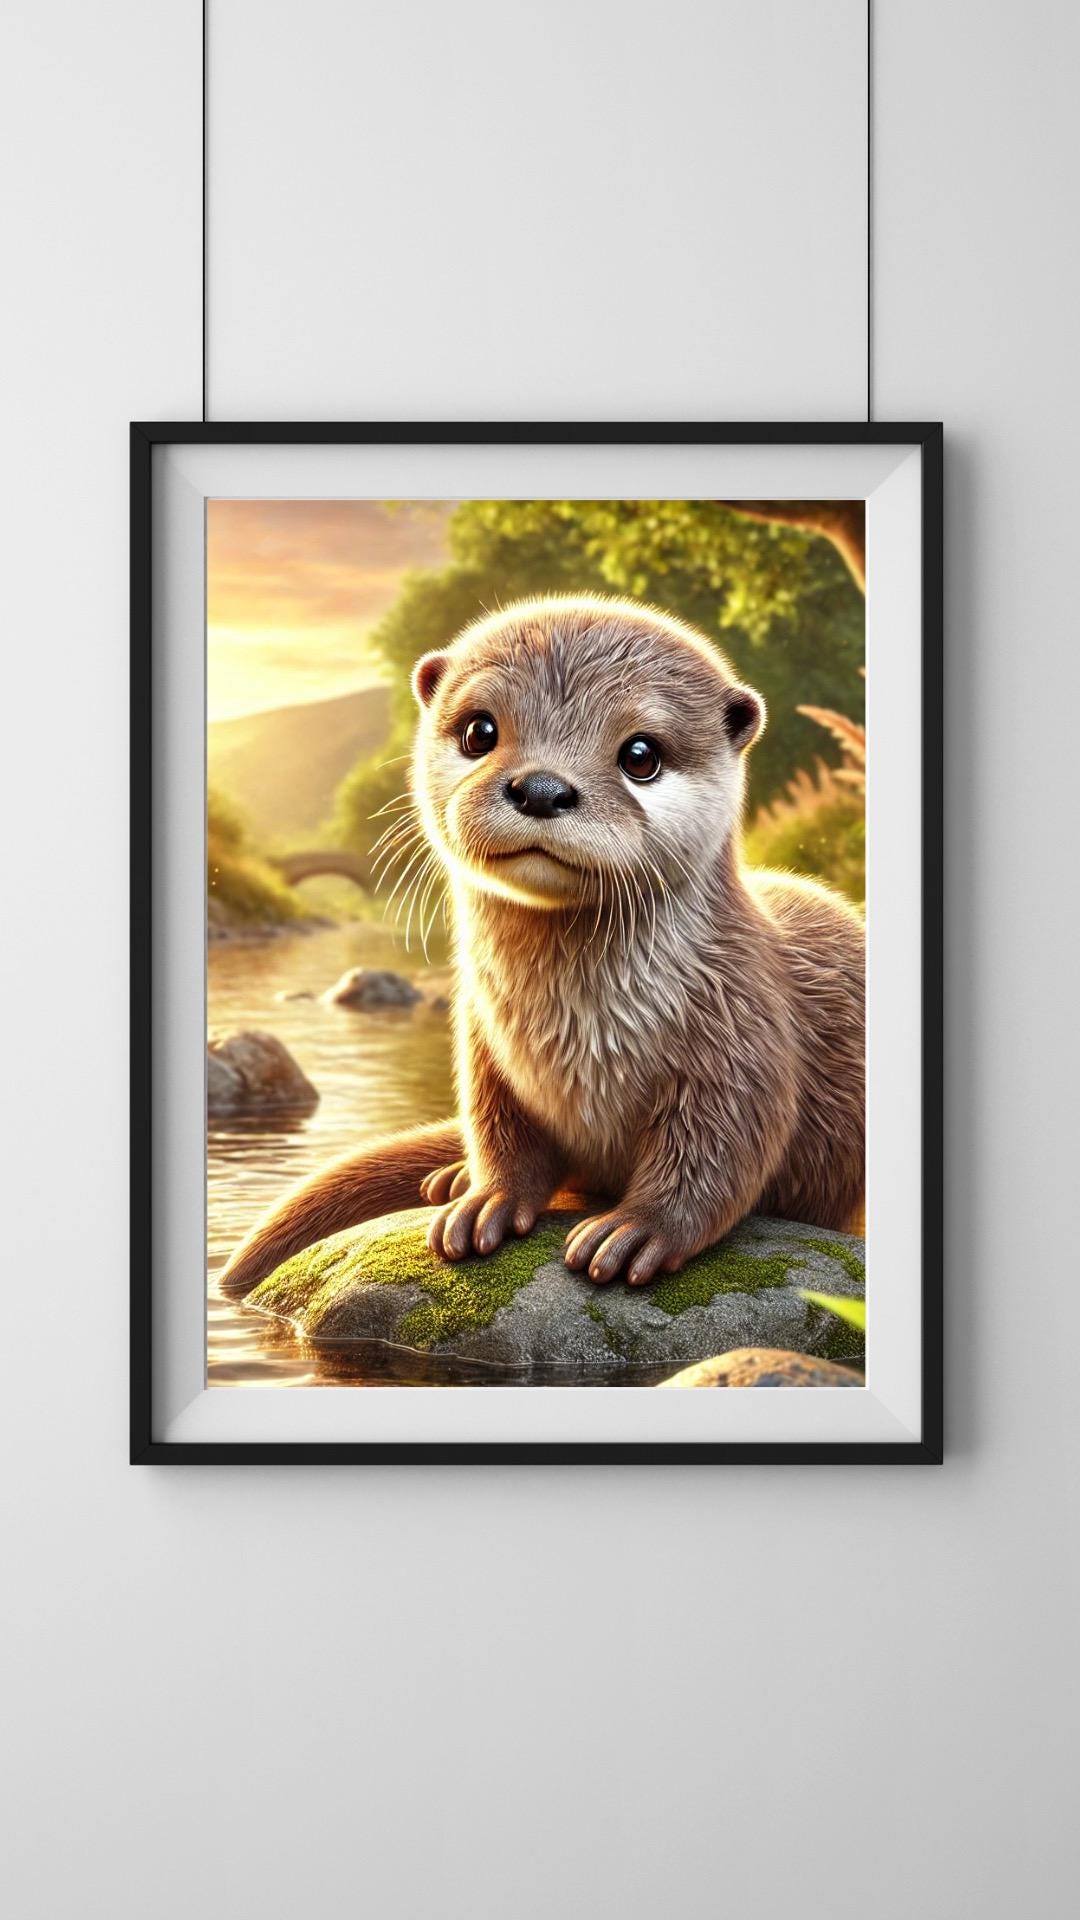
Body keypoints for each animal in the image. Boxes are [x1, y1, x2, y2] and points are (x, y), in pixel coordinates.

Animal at [221, 596, 864, 1299]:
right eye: (480, 732)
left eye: (642, 754)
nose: (541, 789)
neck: (576, 1030)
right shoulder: (484, 1040)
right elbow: (499, 1128)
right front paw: (487, 1201)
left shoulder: (742, 1026)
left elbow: (721, 1150)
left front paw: (636, 1229)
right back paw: (452, 1177)